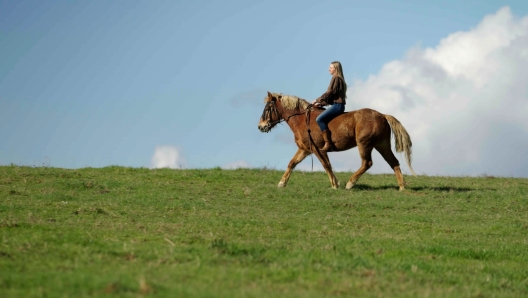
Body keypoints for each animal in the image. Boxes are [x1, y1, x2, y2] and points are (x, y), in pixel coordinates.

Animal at [258, 91, 414, 192]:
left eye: (267, 108)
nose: (260, 126)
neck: (302, 119)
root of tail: (382, 115)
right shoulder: (305, 149)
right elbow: (292, 163)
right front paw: (281, 183)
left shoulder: (318, 149)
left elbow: (326, 165)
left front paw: (335, 184)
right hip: (382, 145)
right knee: (394, 162)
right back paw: (402, 187)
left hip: (364, 144)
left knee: (367, 163)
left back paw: (350, 183)